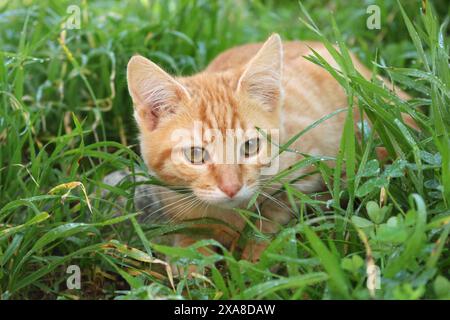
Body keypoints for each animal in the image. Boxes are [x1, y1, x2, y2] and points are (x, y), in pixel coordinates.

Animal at [125, 33, 412, 266]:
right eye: (195, 154)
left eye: (251, 146)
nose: (231, 188)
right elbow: (191, 233)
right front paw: (191, 260)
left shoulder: (304, 171)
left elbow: (273, 215)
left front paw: (255, 257)